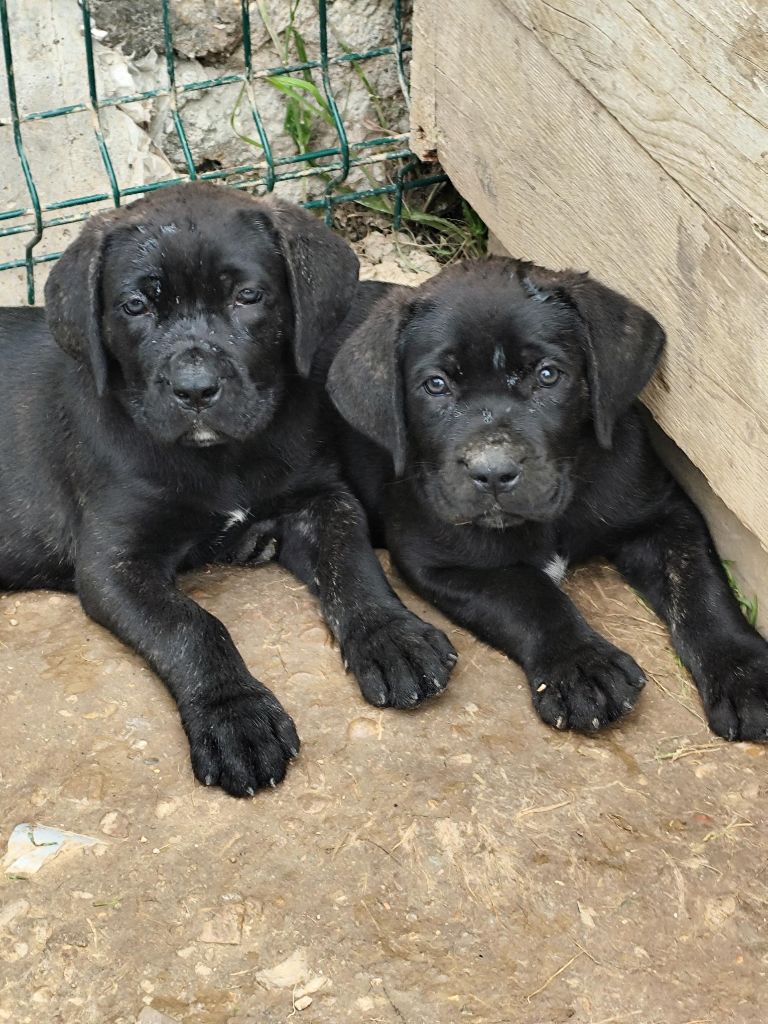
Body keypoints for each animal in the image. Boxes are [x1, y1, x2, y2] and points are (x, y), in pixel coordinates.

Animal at [0, 183, 456, 797]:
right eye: (135, 306)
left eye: (247, 296)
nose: (195, 389)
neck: (223, 458)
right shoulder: (114, 563)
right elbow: (191, 627)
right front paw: (234, 714)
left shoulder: (321, 498)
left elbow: (352, 563)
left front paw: (392, 635)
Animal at [326, 258, 768, 740]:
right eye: (436, 385)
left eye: (548, 375)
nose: (493, 472)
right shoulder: (438, 560)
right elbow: (531, 594)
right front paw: (581, 666)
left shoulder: (665, 515)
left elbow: (702, 589)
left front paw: (744, 672)